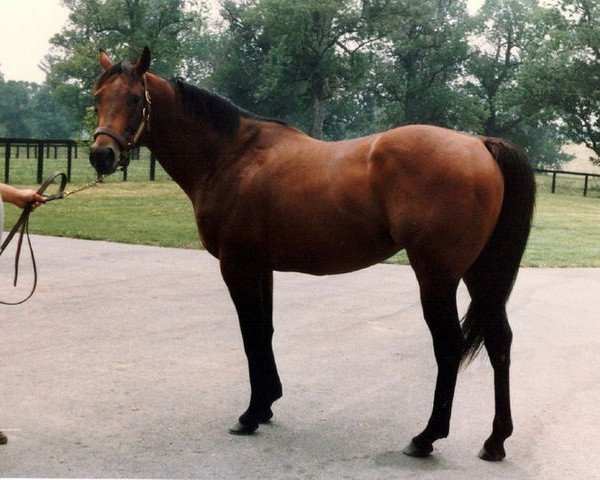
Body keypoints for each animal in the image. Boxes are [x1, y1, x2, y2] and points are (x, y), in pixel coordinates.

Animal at [89, 47, 536, 462]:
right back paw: (495, 441)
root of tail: (479, 144)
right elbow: (265, 331)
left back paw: (426, 438)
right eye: (97, 96)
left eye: (135, 99)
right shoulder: (261, 267)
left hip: (437, 276)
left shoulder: (237, 266)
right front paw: (268, 403)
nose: (100, 154)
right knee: (499, 341)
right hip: (480, 274)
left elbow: (251, 335)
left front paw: (250, 415)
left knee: (448, 346)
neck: (232, 156)